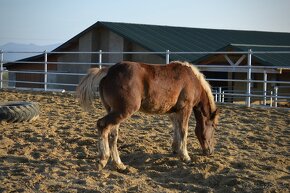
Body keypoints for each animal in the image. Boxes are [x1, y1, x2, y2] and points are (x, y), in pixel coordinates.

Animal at [76, 60, 219, 170]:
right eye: (213, 126)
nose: (210, 151)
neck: (192, 79)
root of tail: (109, 71)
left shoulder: (174, 111)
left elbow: (176, 128)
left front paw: (175, 149)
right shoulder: (185, 108)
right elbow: (183, 131)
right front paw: (185, 156)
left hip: (113, 111)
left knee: (112, 134)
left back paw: (119, 164)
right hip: (122, 111)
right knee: (102, 125)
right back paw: (103, 159)